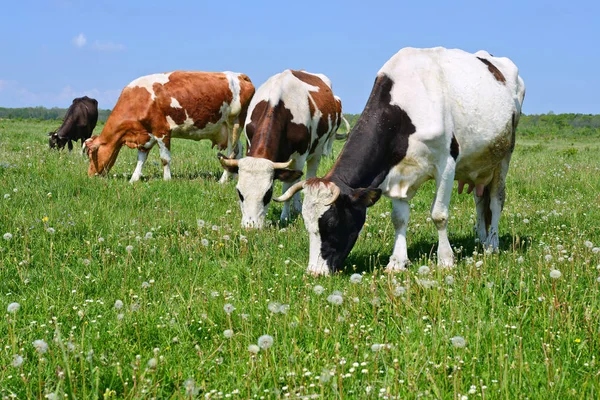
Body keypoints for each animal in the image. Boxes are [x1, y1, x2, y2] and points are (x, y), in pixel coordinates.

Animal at [84, 71, 253, 183]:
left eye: (92, 154)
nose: (90, 175)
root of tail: (240, 75)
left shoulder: (162, 131)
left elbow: (165, 159)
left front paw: (167, 180)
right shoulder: (146, 134)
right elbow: (141, 158)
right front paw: (134, 179)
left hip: (234, 123)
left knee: (231, 152)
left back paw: (223, 181)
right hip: (227, 129)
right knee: (238, 151)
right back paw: (235, 177)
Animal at [218, 69, 344, 228]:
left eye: (268, 194)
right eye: (240, 193)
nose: (251, 227)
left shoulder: (299, 157)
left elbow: (287, 188)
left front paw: (285, 217)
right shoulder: (249, 144)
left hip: (317, 151)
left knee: (306, 176)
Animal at [274, 47, 528, 276]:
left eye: (332, 223)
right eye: (307, 226)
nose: (315, 273)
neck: (406, 106)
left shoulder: (446, 163)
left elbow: (439, 215)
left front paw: (445, 260)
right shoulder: (395, 173)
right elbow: (399, 219)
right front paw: (397, 262)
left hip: (504, 156)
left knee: (495, 201)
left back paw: (492, 245)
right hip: (479, 164)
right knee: (480, 200)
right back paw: (481, 239)